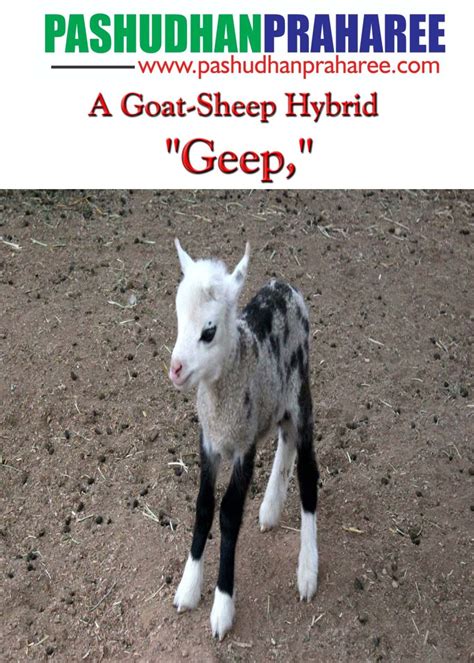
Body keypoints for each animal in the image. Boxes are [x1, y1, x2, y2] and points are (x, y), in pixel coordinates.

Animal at [168, 239, 320, 640]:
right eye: (178, 318)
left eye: (208, 331)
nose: (175, 369)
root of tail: (284, 287)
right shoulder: (210, 441)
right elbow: (204, 506)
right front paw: (188, 588)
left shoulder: (243, 446)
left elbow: (229, 514)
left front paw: (222, 606)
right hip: (277, 400)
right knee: (285, 439)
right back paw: (270, 508)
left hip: (301, 392)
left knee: (308, 474)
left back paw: (307, 569)